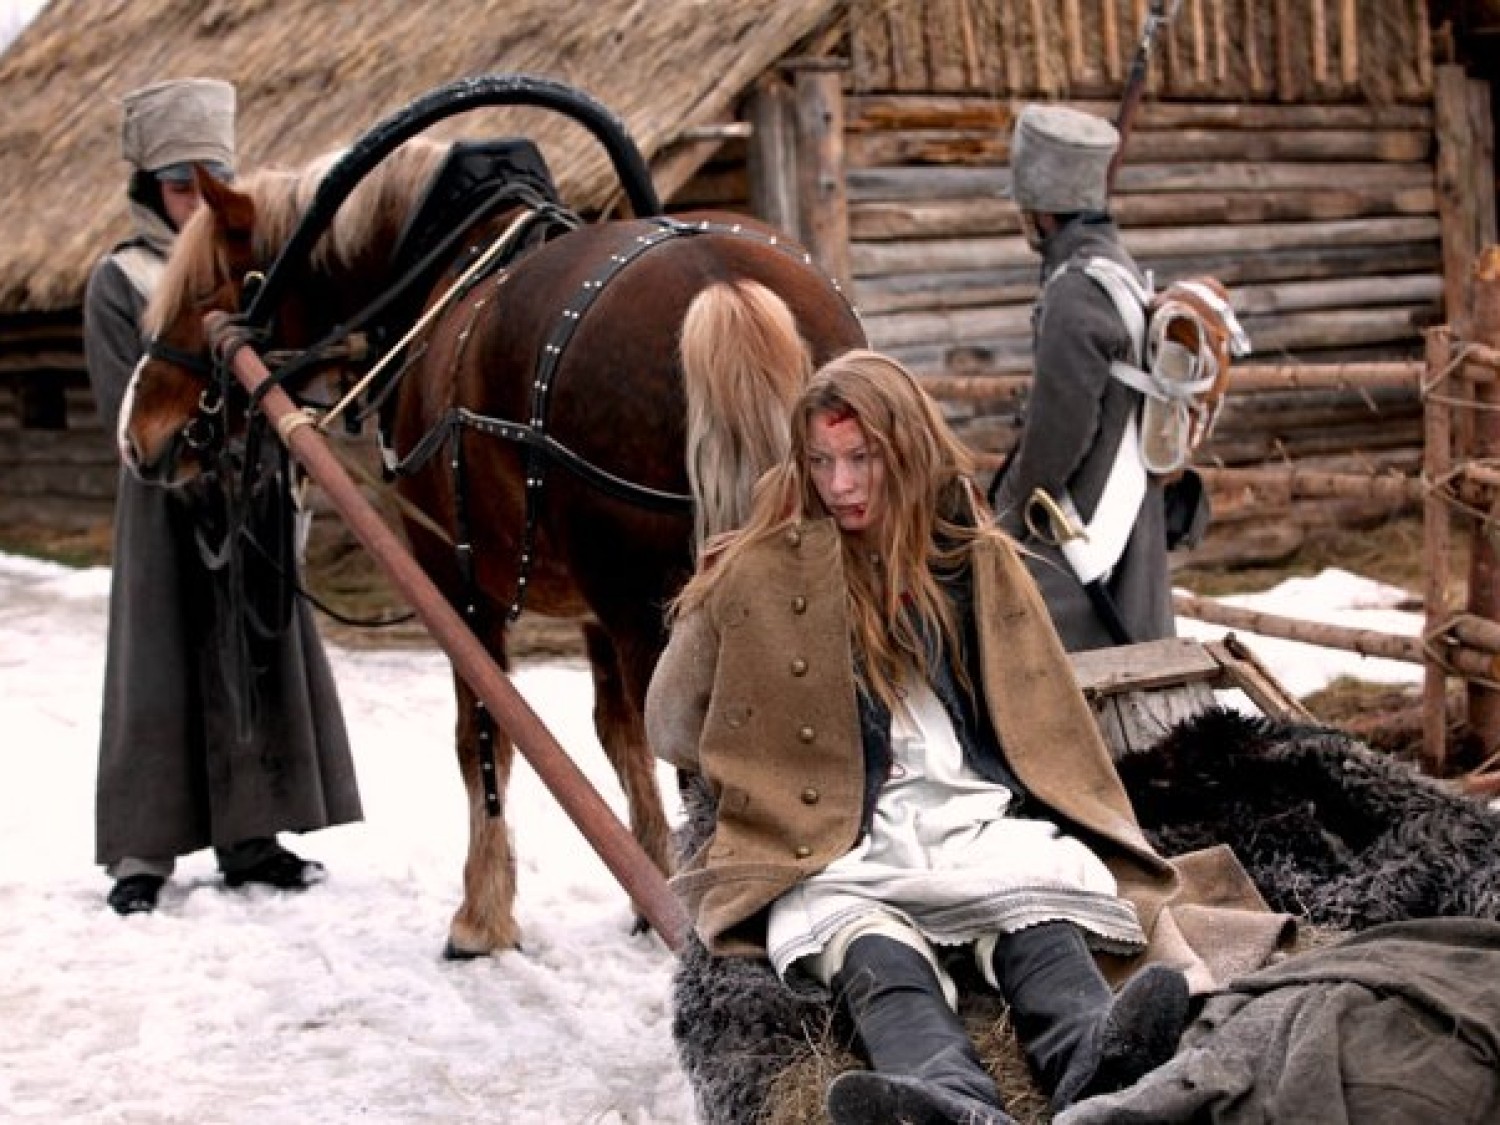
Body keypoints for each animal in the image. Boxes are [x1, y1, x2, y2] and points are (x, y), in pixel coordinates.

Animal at [120, 133, 866, 957]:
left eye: (201, 291)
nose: (138, 433)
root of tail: (721, 284)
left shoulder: (455, 580)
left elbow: (481, 735)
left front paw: (480, 918)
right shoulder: (592, 612)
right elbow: (617, 735)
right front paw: (649, 889)